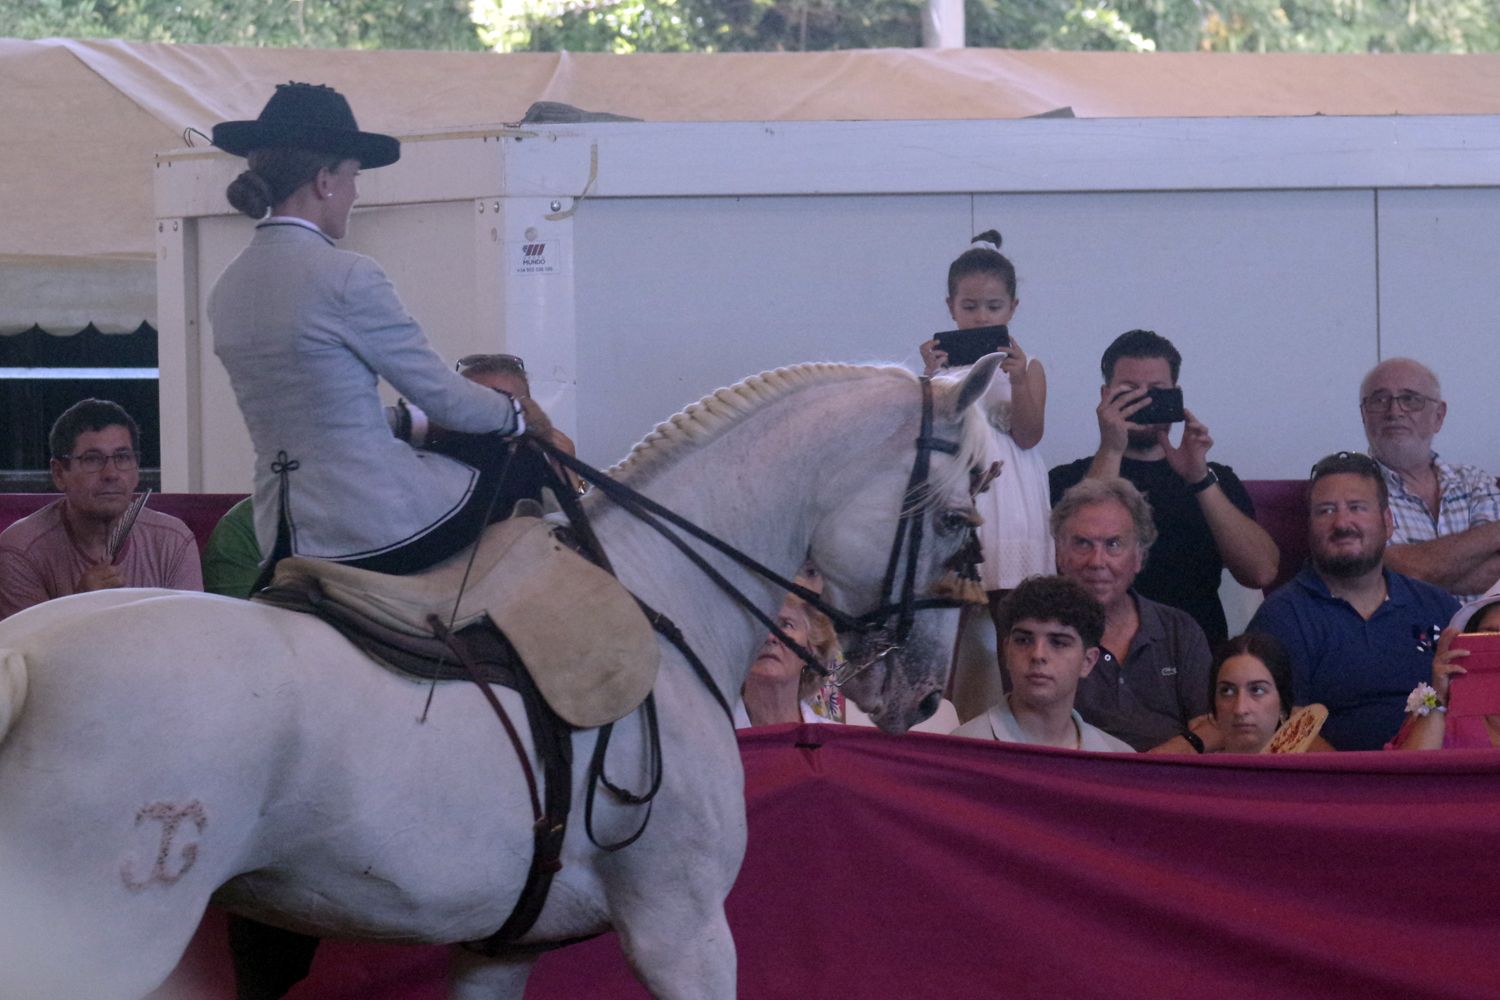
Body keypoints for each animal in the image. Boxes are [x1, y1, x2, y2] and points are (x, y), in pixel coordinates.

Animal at [2, 361, 996, 1000]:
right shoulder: (683, 932)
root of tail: (29, 659)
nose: (917, 692)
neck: (661, 598)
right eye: (955, 520)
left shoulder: (496, 948)